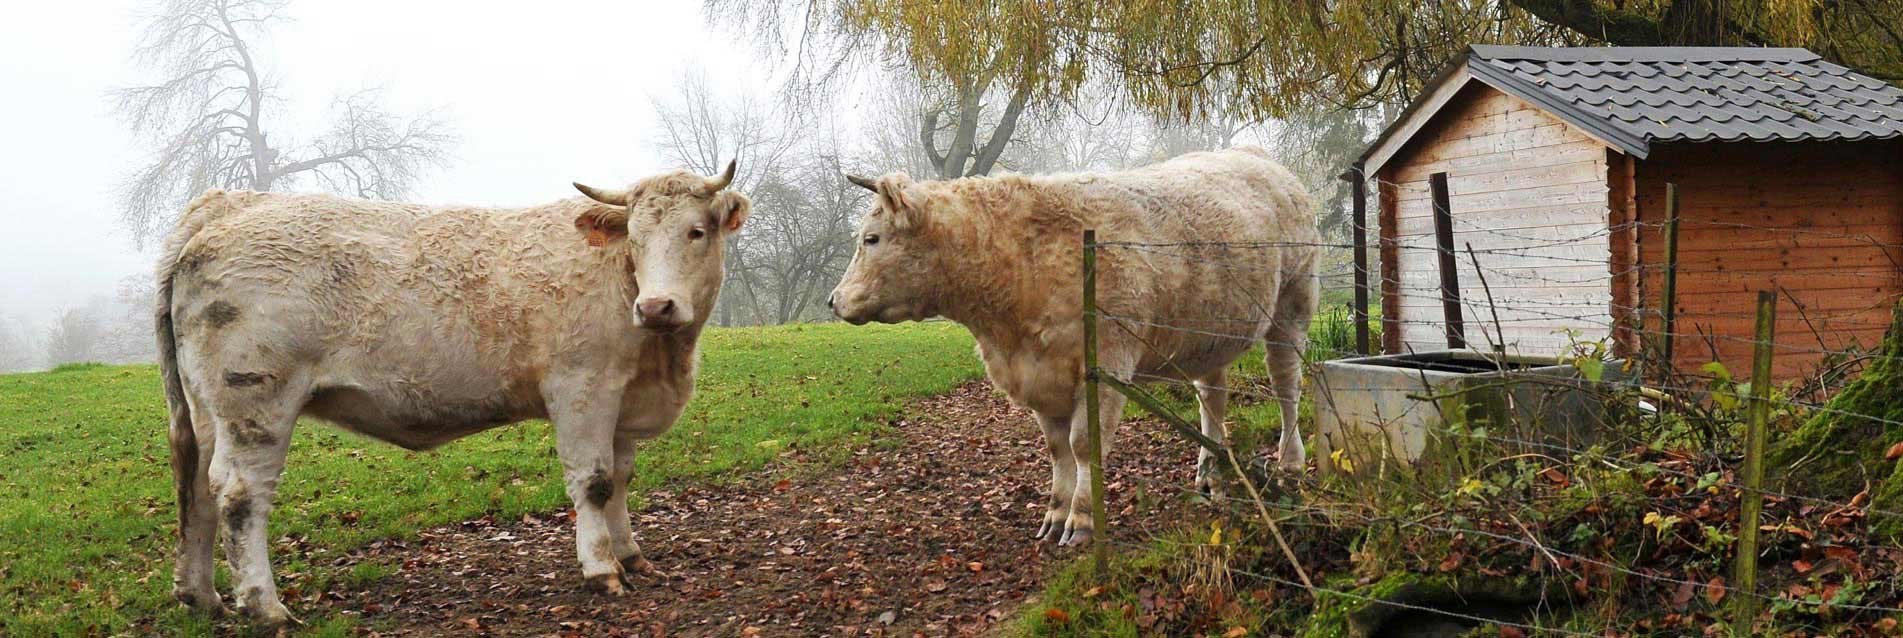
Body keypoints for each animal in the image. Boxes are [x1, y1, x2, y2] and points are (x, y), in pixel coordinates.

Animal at [157, 162, 749, 628]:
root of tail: (228, 202)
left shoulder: (624, 399)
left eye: (697, 231)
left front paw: (631, 556)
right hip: (255, 399)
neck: (662, 357)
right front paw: (602, 569)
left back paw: (201, 596)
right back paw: (266, 607)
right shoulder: (582, 387)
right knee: (239, 495)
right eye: (636, 240)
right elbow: (596, 483)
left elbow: (623, 478)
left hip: (208, 408)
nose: (656, 307)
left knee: (197, 487)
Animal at [833, 147, 1324, 548]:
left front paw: (1083, 519)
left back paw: (1290, 465)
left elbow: (1084, 445)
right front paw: (1055, 512)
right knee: (1213, 400)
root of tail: (1262, 159)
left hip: (1292, 306)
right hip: (1210, 336)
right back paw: (1211, 475)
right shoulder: (1039, 378)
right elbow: (1058, 450)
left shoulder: (1106, 365)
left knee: (1286, 387)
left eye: (871, 238)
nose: (834, 300)